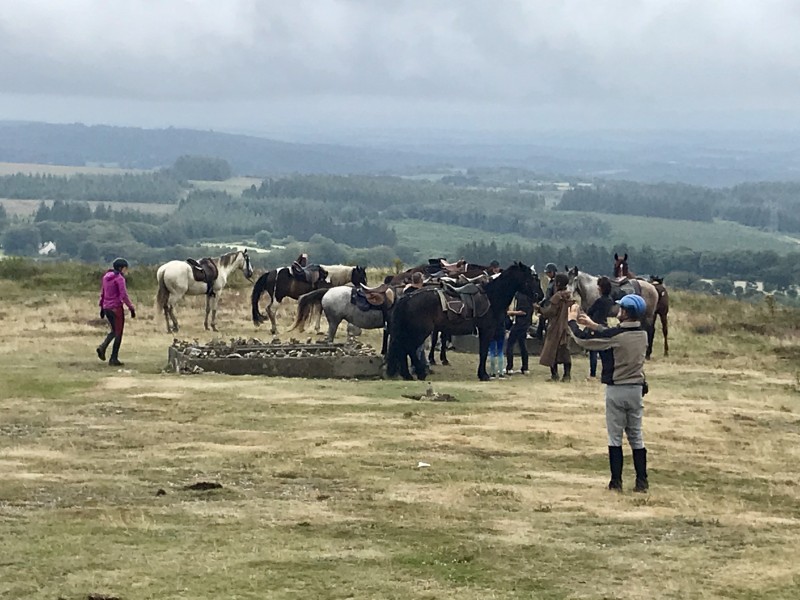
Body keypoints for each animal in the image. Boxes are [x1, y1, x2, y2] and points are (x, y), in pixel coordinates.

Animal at [386, 262, 536, 380]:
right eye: (531, 279)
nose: (538, 296)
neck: (491, 297)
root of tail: (407, 297)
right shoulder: (486, 330)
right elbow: (483, 352)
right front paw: (483, 375)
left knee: (402, 348)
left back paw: (407, 374)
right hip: (420, 331)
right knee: (409, 348)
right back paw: (420, 373)